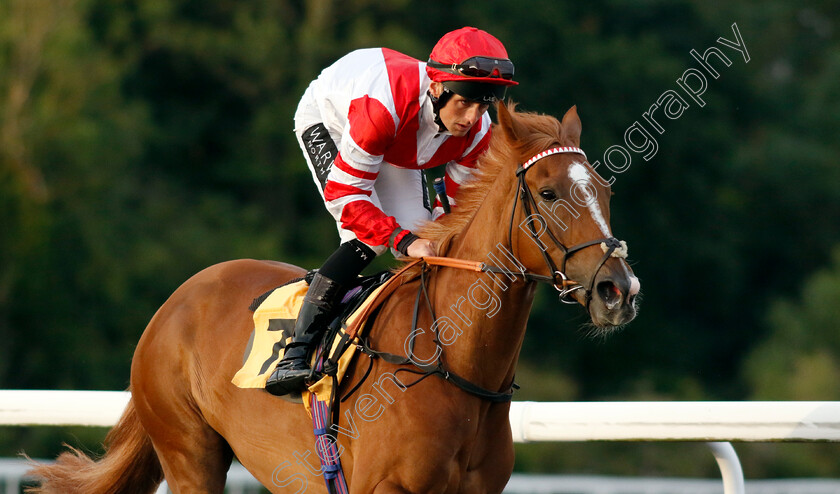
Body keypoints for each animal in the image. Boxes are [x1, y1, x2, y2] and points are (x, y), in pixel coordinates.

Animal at [29, 102, 640, 492]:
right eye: (549, 193)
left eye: (606, 190)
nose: (619, 290)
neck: (454, 366)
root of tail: (175, 301)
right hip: (189, 452)